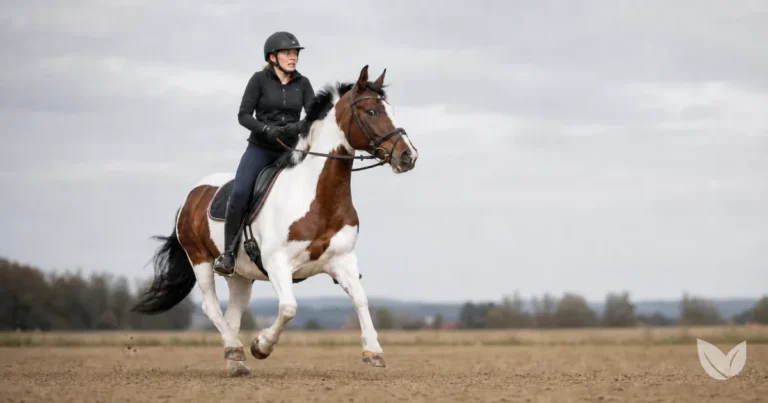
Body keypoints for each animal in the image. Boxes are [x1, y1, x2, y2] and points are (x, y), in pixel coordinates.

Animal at [130, 65, 419, 377]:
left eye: (391, 109)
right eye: (371, 111)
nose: (408, 156)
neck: (318, 197)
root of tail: (192, 195)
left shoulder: (343, 261)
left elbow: (361, 299)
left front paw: (373, 351)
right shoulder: (277, 263)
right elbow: (289, 307)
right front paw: (261, 346)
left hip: (240, 275)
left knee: (233, 312)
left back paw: (236, 362)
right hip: (201, 259)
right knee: (210, 306)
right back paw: (236, 349)